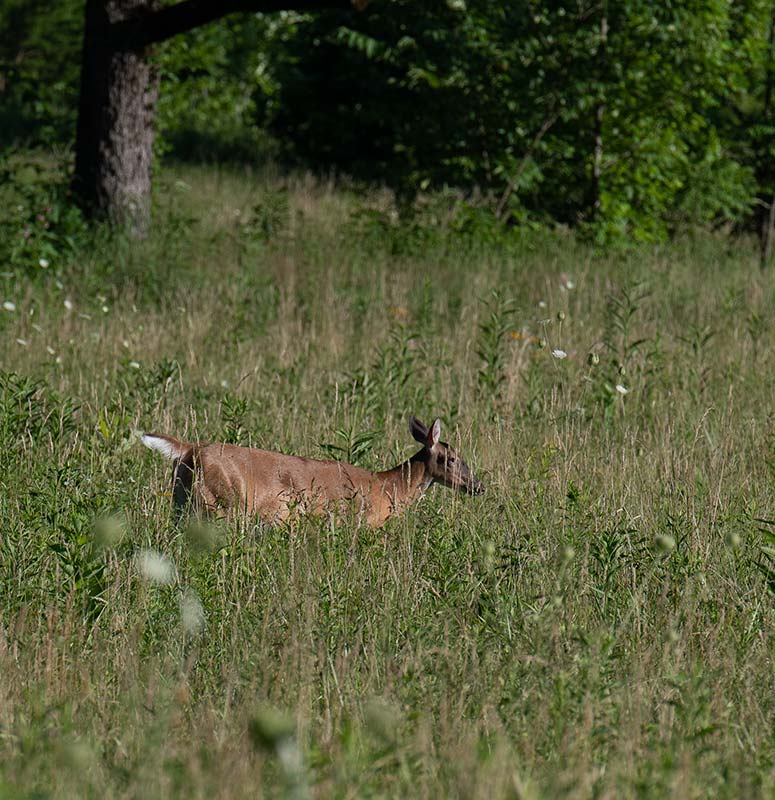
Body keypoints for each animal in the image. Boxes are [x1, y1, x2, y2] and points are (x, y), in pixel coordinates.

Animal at [144, 416, 484, 528]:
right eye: (452, 458)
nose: (478, 486)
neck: (391, 486)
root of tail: (190, 449)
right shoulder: (367, 524)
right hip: (223, 503)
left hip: (181, 500)